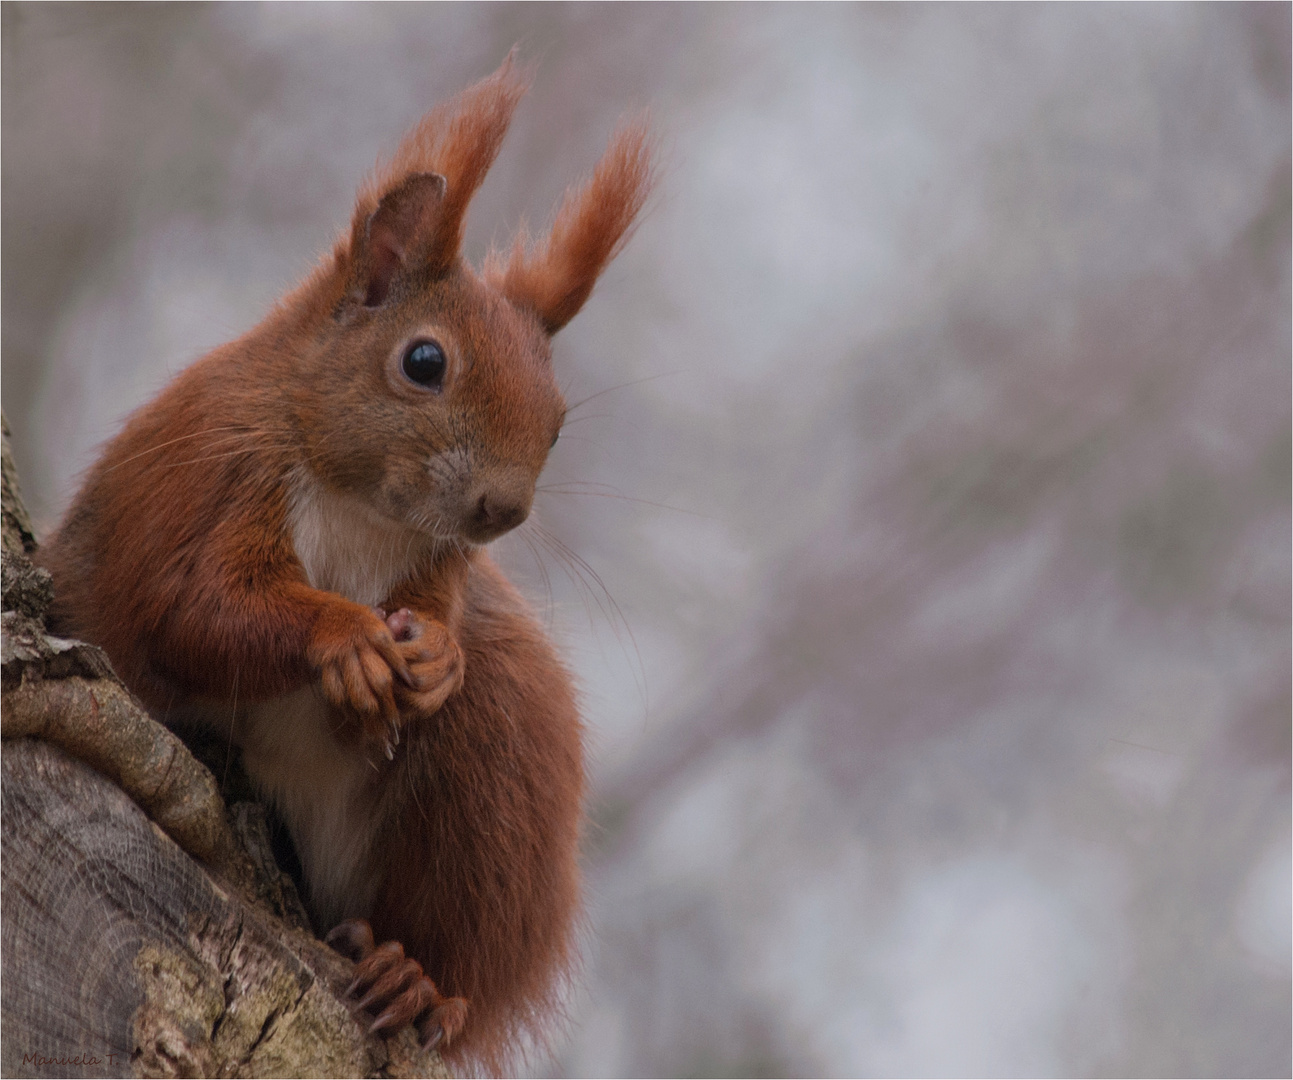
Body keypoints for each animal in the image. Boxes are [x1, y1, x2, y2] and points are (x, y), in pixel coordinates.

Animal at [39, 56, 651, 1070]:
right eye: (424, 361)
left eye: (560, 420)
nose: (503, 509)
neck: (365, 507)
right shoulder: (212, 483)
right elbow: (196, 609)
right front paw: (347, 640)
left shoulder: (441, 566)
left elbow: (432, 623)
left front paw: (435, 656)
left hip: (496, 764)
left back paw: (415, 976)